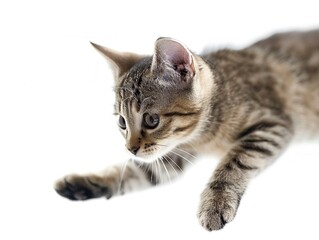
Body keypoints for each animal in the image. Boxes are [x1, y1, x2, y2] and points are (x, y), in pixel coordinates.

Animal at [54, 30, 319, 231]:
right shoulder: (172, 153)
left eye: (151, 120)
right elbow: (134, 172)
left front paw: (215, 202)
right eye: (121, 122)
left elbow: (234, 162)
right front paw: (84, 182)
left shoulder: (272, 124)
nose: (130, 149)